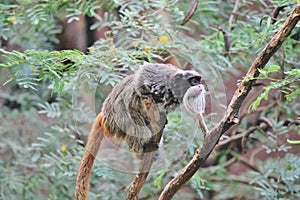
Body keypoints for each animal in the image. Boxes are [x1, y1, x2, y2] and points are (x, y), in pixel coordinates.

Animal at [75, 62, 206, 200]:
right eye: (193, 81)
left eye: (198, 81)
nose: (200, 86)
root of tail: (104, 116)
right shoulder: (161, 79)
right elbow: (144, 72)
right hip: (116, 119)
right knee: (133, 122)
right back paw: (141, 149)